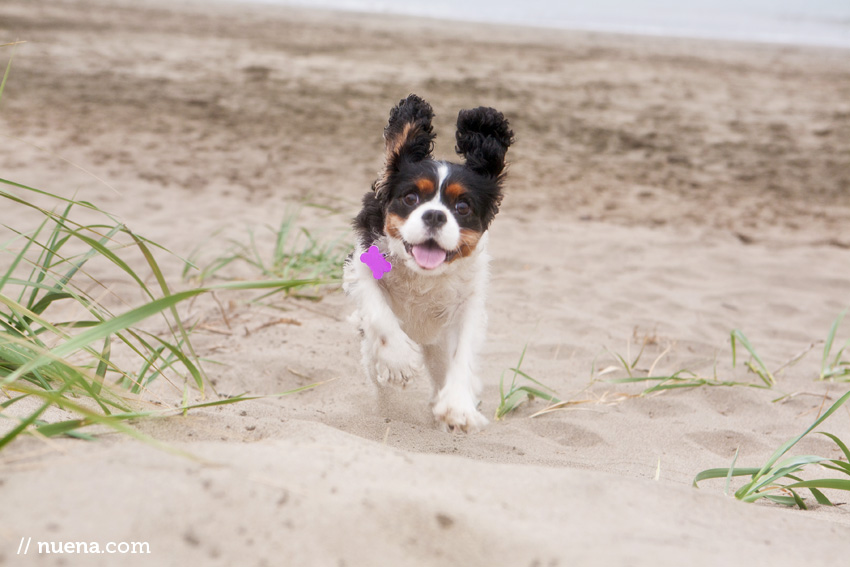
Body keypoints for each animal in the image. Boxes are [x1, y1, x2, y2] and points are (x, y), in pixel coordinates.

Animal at [342, 93, 512, 432]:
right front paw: (398, 361)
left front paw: (458, 406)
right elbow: (379, 310)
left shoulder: (469, 303)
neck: (423, 274)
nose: (434, 215)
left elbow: (463, 354)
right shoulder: (361, 263)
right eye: (411, 198)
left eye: (462, 207)